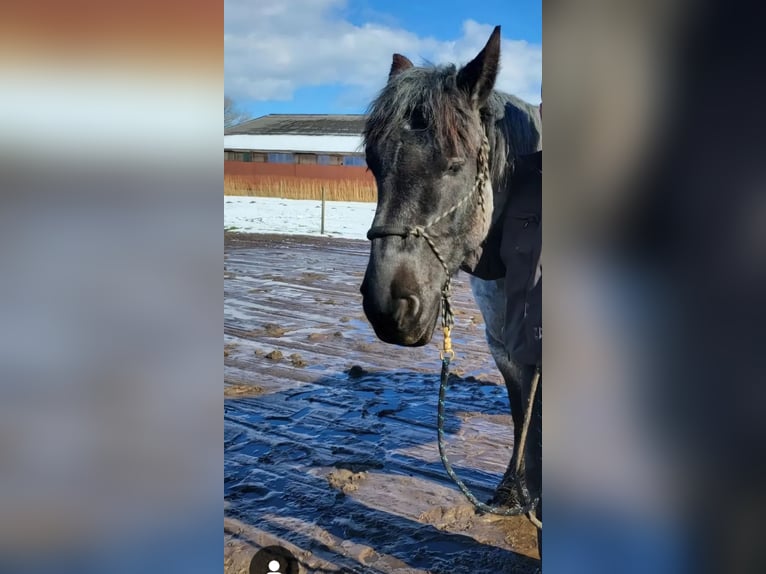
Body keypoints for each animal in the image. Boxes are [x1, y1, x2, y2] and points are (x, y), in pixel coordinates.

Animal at [362, 25, 544, 532]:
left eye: (455, 163)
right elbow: (523, 416)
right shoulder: (506, 344)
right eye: (372, 163)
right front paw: (512, 493)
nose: (388, 306)